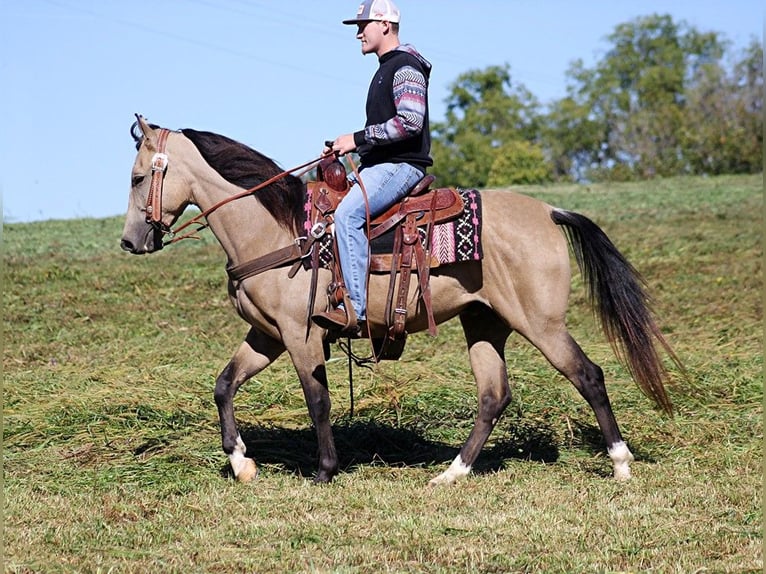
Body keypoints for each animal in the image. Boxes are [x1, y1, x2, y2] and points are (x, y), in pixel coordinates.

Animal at [120, 116, 684, 486]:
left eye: (138, 176)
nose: (130, 241)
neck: (278, 230)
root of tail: (550, 211)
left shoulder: (301, 336)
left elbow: (318, 400)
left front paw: (324, 471)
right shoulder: (267, 334)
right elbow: (224, 385)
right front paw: (241, 463)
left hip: (541, 323)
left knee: (589, 375)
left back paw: (620, 463)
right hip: (485, 323)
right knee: (493, 396)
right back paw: (451, 474)